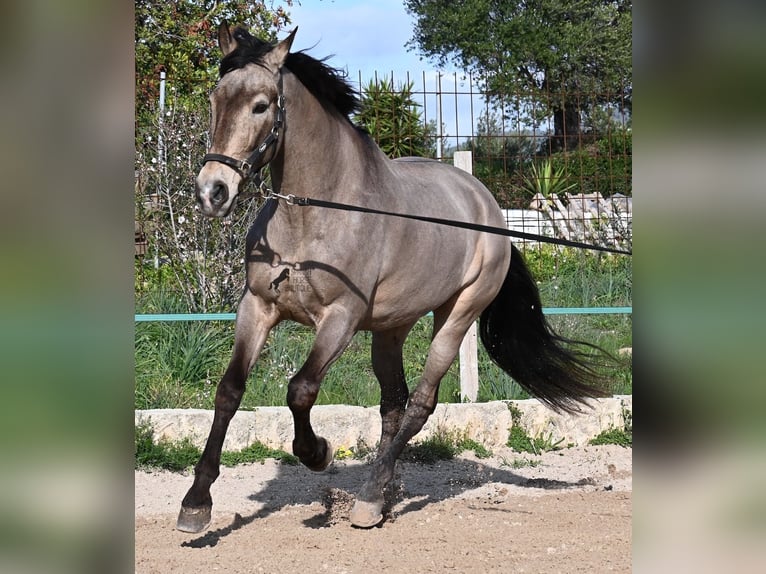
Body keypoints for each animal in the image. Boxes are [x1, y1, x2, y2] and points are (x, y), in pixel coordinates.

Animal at [177, 23, 609, 532]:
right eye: (215, 99)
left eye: (261, 105)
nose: (212, 192)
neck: (314, 214)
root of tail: (487, 206)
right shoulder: (258, 306)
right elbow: (229, 390)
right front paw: (196, 503)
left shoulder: (340, 318)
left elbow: (301, 389)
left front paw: (317, 452)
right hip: (390, 327)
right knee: (393, 404)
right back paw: (379, 495)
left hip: (457, 315)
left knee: (420, 403)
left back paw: (368, 498)